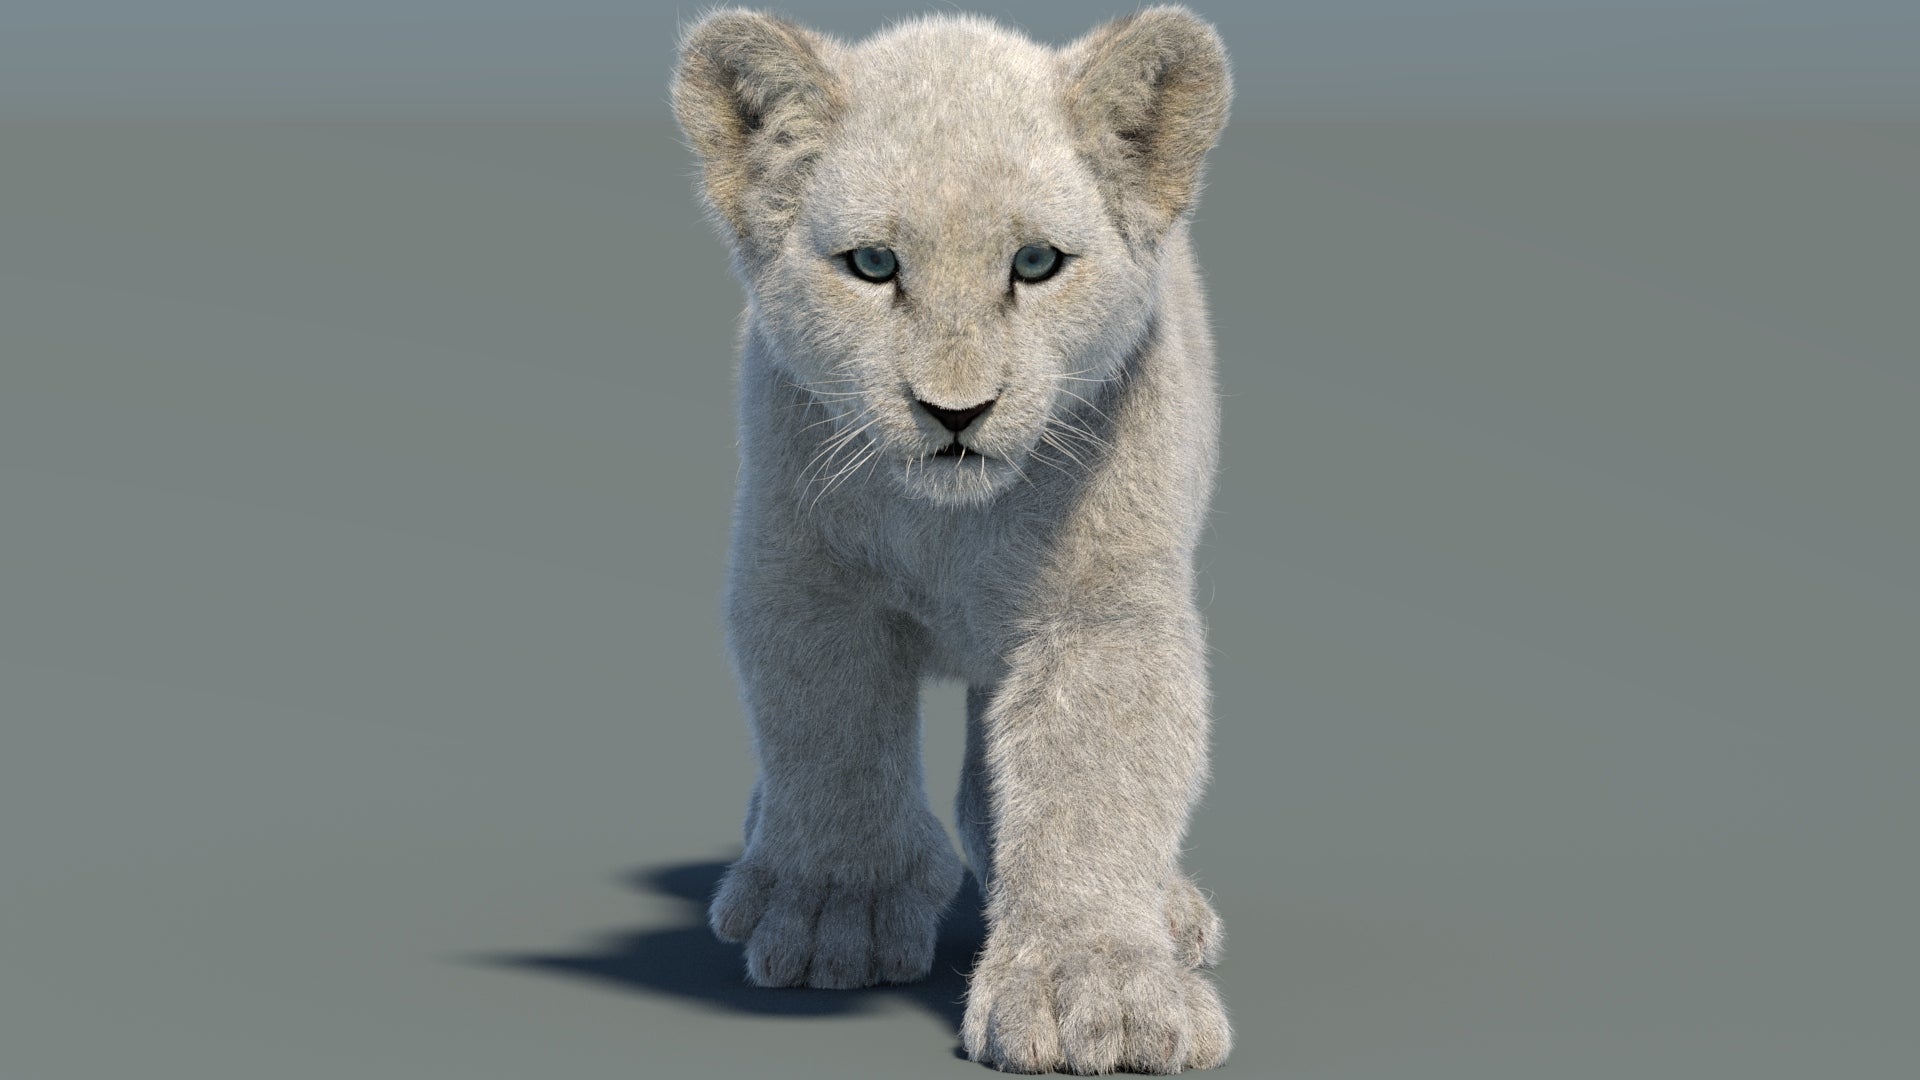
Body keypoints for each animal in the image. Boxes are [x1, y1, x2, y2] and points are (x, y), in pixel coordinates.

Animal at [671, 6, 1233, 1072]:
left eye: (1037, 263)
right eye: (873, 265)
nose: (955, 412)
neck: (949, 528)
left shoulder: (1098, 614)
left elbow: (1094, 782)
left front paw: (1095, 992)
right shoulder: (807, 584)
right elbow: (831, 742)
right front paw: (834, 915)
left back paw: (1171, 909)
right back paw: (765, 878)